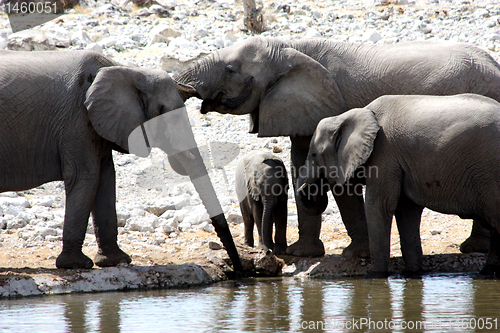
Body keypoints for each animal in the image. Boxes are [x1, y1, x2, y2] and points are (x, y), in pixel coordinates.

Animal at [0, 49, 242, 270]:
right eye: (161, 112)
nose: (238, 271)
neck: (126, 70)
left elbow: (106, 177)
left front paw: (116, 261)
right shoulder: (75, 119)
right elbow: (86, 176)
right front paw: (76, 265)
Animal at [174, 37, 500, 256]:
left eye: (230, 69)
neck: (289, 48)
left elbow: (338, 182)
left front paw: (354, 254)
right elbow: (299, 161)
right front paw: (303, 254)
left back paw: (473, 248)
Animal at [298, 94, 500, 278]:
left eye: (314, 154)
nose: (309, 190)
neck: (353, 115)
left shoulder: (384, 155)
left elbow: (379, 207)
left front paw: (374, 277)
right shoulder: (402, 164)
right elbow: (406, 212)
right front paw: (411, 274)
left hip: (490, 174)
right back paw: (487, 273)